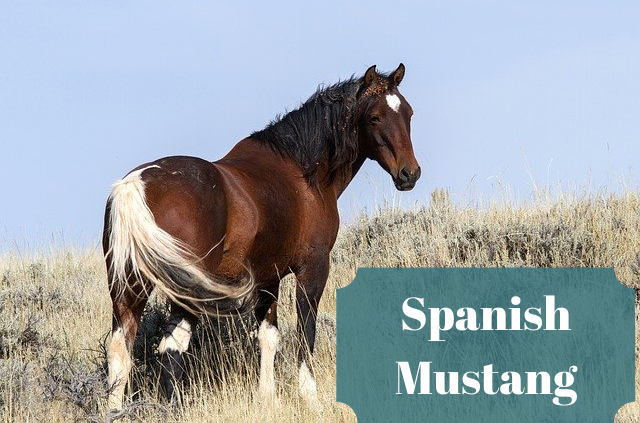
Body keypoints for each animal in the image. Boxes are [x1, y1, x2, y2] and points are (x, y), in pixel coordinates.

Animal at [103, 63, 421, 410]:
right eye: (375, 117)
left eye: (408, 113)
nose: (410, 174)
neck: (302, 172)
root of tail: (135, 185)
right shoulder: (313, 269)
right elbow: (306, 330)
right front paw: (310, 396)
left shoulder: (268, 278)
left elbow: (269, 336)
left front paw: (266, 397)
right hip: (185, 293)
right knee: (172, 346)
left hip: (130, 288)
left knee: (120, 349)